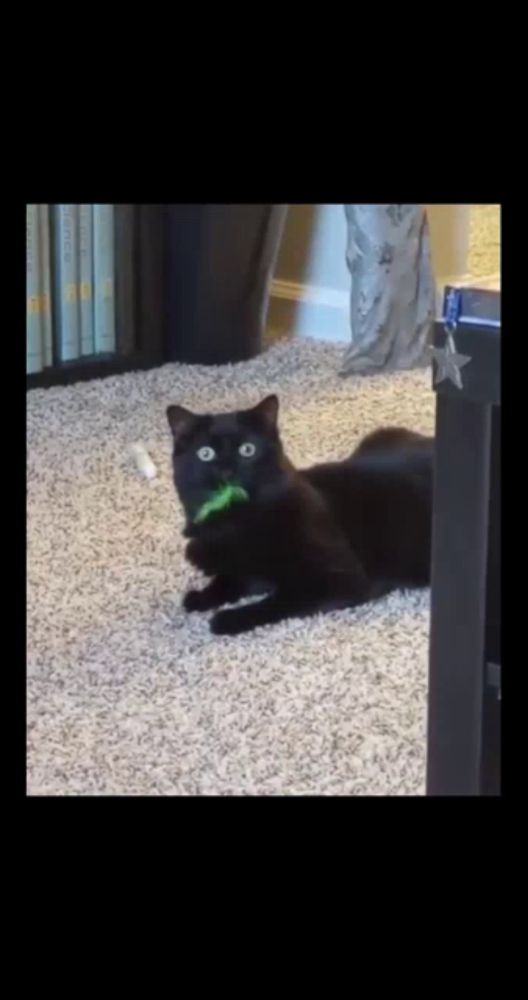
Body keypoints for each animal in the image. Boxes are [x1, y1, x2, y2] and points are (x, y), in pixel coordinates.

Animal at [166, 392, 434, 632]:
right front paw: (201, 597)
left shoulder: (340, 579)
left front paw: (228, 618)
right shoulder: (244, 565)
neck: (238, 523)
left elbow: (277, 601)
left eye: (248, 450)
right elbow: (230, 578)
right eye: (205, 454)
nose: (227, 472)